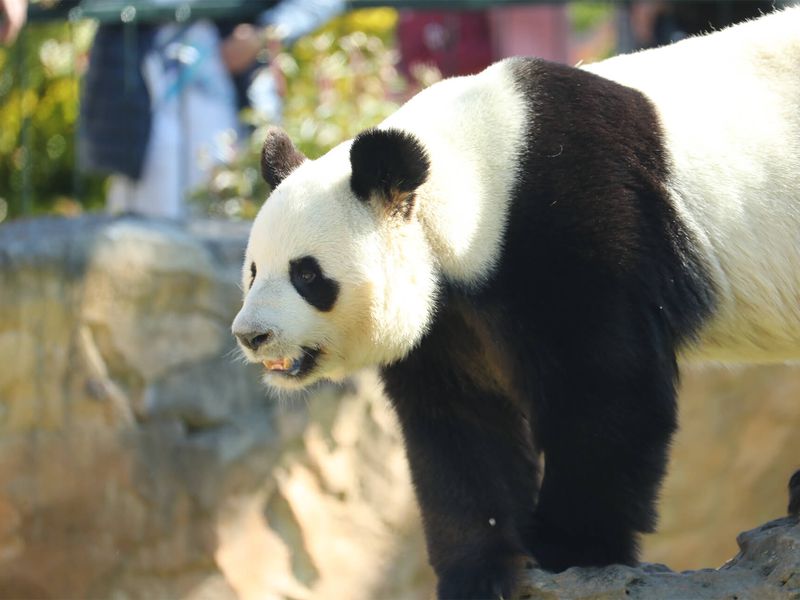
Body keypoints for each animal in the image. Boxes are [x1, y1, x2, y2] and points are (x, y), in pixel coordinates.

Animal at [231, 10, 800, 600]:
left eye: (306, 274)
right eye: (253, 271)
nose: (252, 335)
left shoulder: (582, 222)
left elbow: (607, 386)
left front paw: (568, 547)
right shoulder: (450, 314)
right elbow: (461, 423)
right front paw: (479, 569)